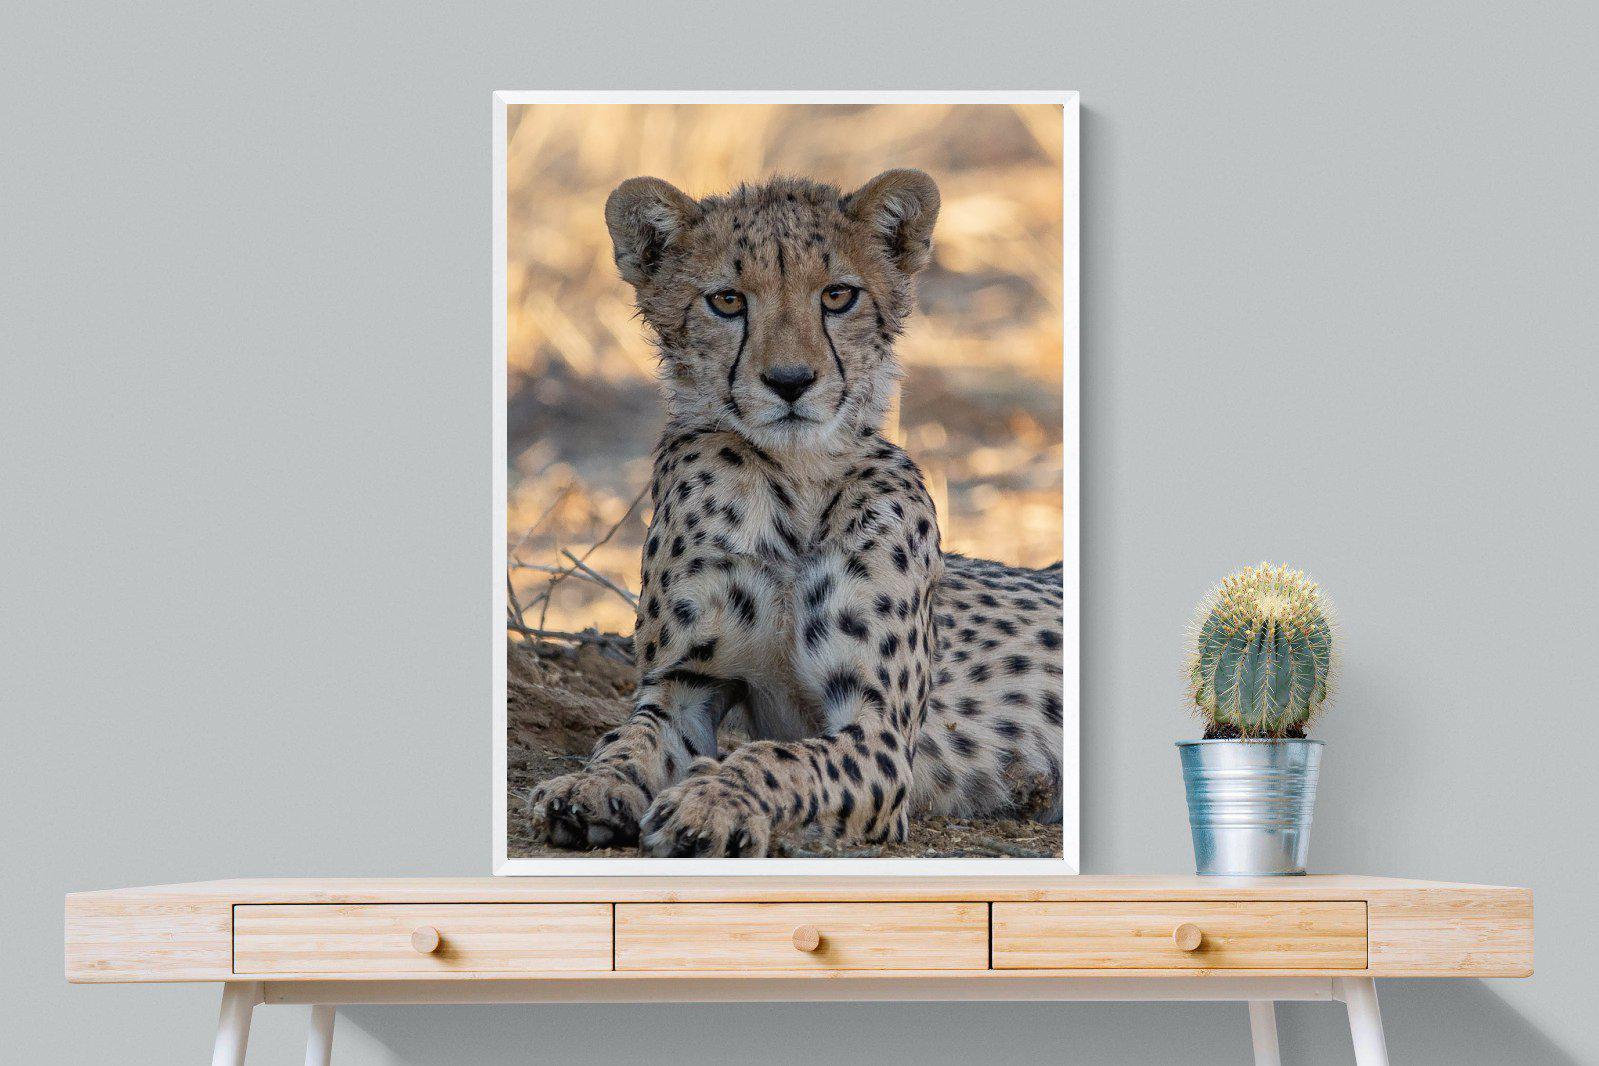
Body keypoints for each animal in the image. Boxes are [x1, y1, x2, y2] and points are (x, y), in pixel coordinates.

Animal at [525, 168, 1065, 857]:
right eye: (728, 301)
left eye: (837, 295)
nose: (789, 381)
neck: (794, 485)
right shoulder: (683, 686)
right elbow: (630, 738)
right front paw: (590, 786)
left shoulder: (880, 732)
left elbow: (780, 759)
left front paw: (712, 801)